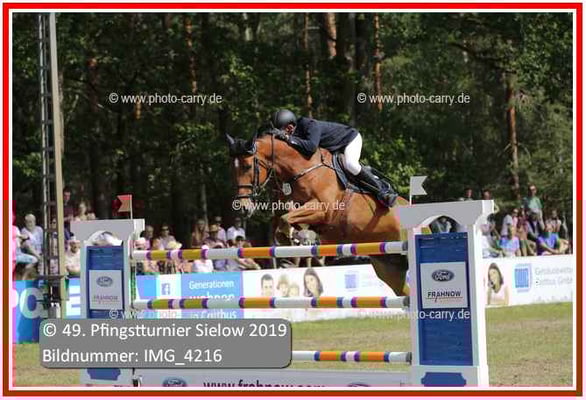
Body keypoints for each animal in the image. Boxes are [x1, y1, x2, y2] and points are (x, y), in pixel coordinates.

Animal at [226, 132, 410, 296]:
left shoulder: (323, 209)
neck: (302, 169)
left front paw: (296, 239)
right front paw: (294, 242)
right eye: (232, 170)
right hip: (387, 264)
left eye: (247, 166)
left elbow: (286, 220)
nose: (242, 207)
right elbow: (284, 222)